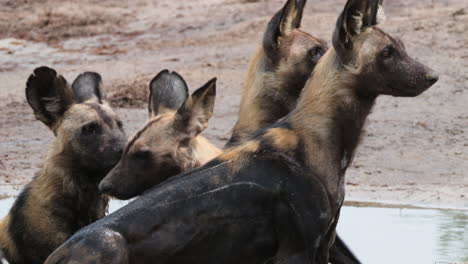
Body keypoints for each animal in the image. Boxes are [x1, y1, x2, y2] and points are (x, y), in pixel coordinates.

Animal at [44, 0, 438, 262]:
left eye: (402, 48)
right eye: (387, 53)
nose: (432, 75)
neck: (320, 141)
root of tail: (58, 255)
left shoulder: (323, 245)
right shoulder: (299, 251)